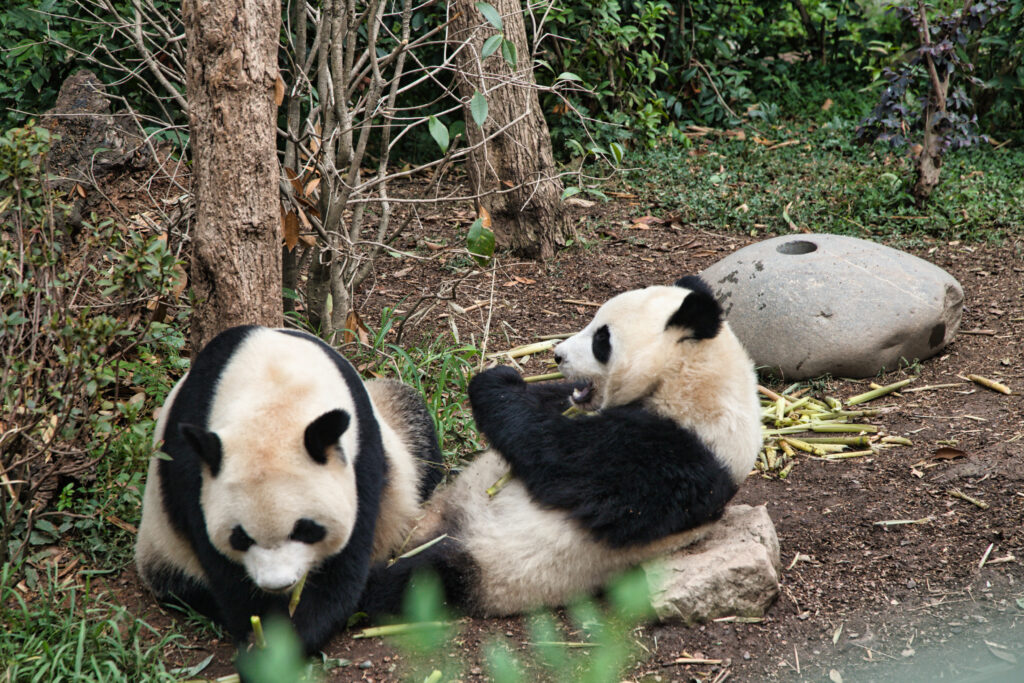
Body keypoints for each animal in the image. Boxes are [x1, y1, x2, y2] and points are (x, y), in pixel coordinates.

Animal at [134, 325, 444, 654]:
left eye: (306, 530)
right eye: (240, 537)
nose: (278, 585)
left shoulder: (363, 450)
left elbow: (344, 560)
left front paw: (293, 636)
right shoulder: (192, 462)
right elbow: (221, 566)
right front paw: (262, 634)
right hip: (163, 545)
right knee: (178, 584)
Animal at [360, 276, 761, 616]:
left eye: (602, 340)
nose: (557, 355)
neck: (693, 379)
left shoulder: (678, 456)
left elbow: (559, 460)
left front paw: (496, 384)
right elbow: (550, 407)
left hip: (493, 564)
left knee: (422, 580)